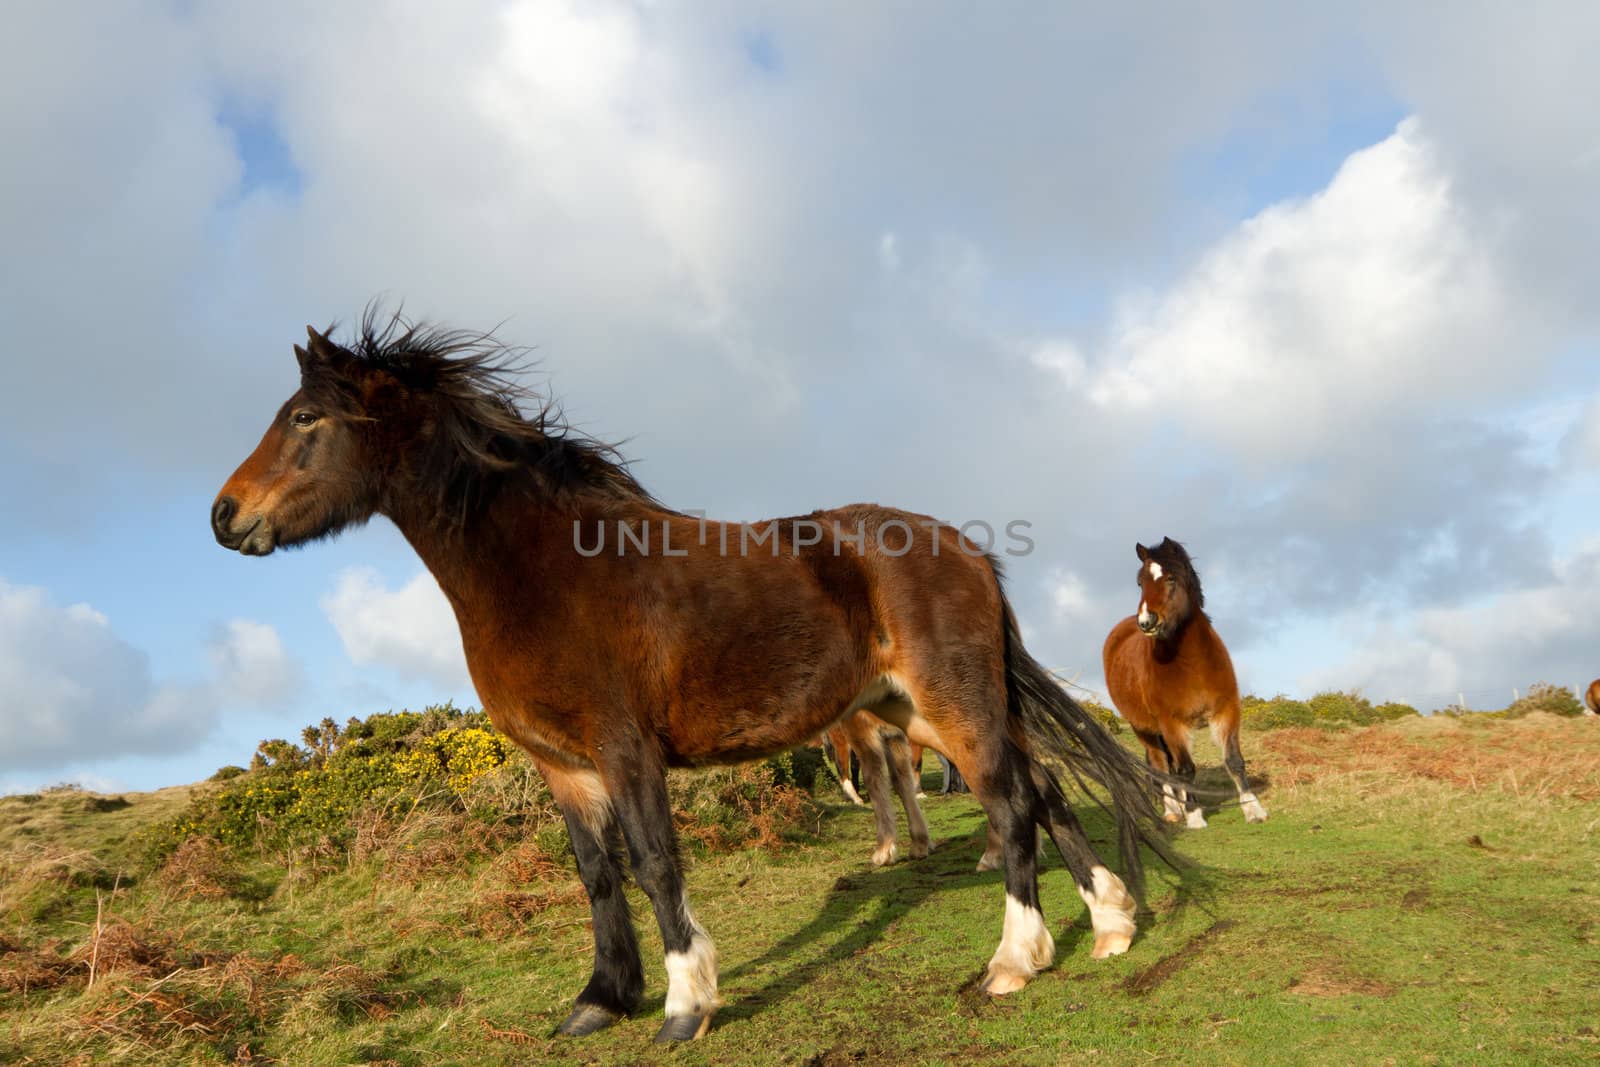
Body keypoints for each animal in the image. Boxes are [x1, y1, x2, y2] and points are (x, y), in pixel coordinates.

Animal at [212, 313, 1177, 1049]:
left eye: (305, 418)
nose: (225, 516)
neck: (542, 572)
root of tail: (968, 550)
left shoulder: (626, 750)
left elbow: (652, 861)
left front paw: (684, 1002)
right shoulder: (563, 766)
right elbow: (596, 874)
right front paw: (601, 998)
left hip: (954, 708)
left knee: (1013, 804)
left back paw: (1012, 961)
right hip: (929, 714)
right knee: (1042, 787)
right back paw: (1111, 924)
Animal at [1100, 537, 1260, 831]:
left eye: (1171, 578)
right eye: (1140, 582)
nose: (1146, 622)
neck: (1193, 665)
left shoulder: (1226, 712)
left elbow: (1234, 760)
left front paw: (1253, 809)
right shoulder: (1172, 723)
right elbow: (1185, 770)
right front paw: (1194, 815)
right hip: (1145, 729)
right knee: (1161, 766)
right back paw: (1173, 810)